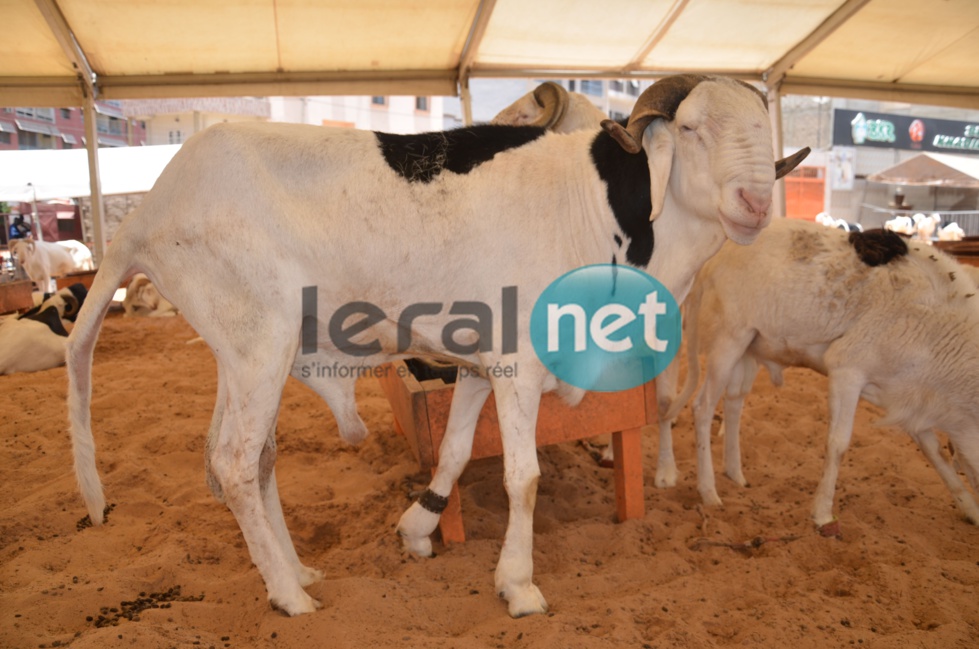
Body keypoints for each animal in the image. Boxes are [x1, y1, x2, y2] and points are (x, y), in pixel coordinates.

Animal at [65, 73, 808, 616]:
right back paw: (288, 596)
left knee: (245, 460)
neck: (597, 206)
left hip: (241, 349)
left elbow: (453, 451)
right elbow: (523, 476)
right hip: (258, 340)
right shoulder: (517, 363)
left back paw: (299, 569)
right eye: (692, 129)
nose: (753, 202)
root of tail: (148, 212)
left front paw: (417, 529)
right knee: (236, 462)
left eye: (759, 129)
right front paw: (519, 584)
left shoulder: (479, 363)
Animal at [656, 218, 979, 532]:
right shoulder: (847, 369)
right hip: (728, 338)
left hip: (747, 348)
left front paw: (970, 509)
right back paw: (708, 491)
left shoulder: (909, 397)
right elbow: (838, 445)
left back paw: (735, 474)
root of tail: (710, 261)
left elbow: (935, 452)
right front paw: (823, 513)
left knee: (733, 403)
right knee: (702, 408)